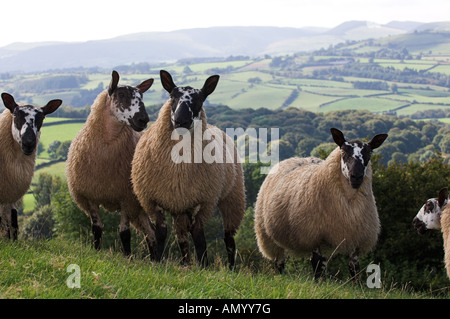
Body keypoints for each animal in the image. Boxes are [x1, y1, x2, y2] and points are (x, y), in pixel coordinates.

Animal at [65, 70, 156, 258]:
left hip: (139, 204)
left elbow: (124, 233)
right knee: (150, 232)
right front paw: (96, 252)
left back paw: (156, 260)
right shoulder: (90, 195)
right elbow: (97, 228)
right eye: (121, 95)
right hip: (139, 209)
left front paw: (128, 258)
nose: (143, 119)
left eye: (141, 96)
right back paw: (155, 260)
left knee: (152, 232)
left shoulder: (126, 198)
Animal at [131, 70, 246, 270]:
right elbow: (161, 233)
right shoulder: (154, 200)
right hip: (179, 205)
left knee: (229, 238)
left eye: (200, 99)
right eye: (172, 96)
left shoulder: (203, 201)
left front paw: (203, 266)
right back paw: (185, 263)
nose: (181, 120)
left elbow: (199, 236)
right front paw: (157, 261)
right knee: (182, 237)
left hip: (233, 196)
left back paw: (231, 268)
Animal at [255, 129, 388, 278]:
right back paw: (280, 277)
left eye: (369, 154)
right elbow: (317, 268)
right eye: (343, 152)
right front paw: (317, 282)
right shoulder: (314, 236)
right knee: (280, 263)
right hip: (269, 238)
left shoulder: (355, 239)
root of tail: (294, 158)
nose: (356, 176)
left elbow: (354, 269)